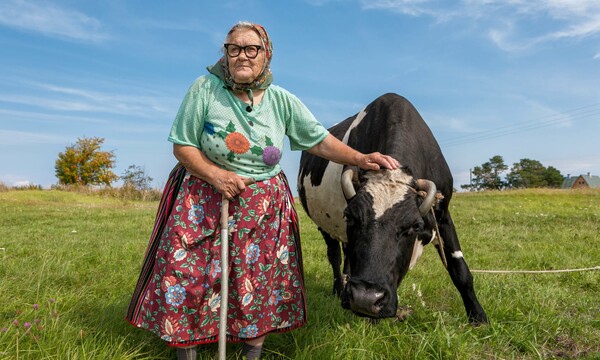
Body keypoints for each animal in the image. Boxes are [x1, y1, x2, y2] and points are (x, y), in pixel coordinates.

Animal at [298, 93, 490, 324]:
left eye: (414, 226)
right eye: (350, 216)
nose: (365, 298)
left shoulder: (443, 215)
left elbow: (459, 269)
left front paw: (478, 317)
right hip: (323, 224)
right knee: (335, 254)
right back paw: (338, 288)